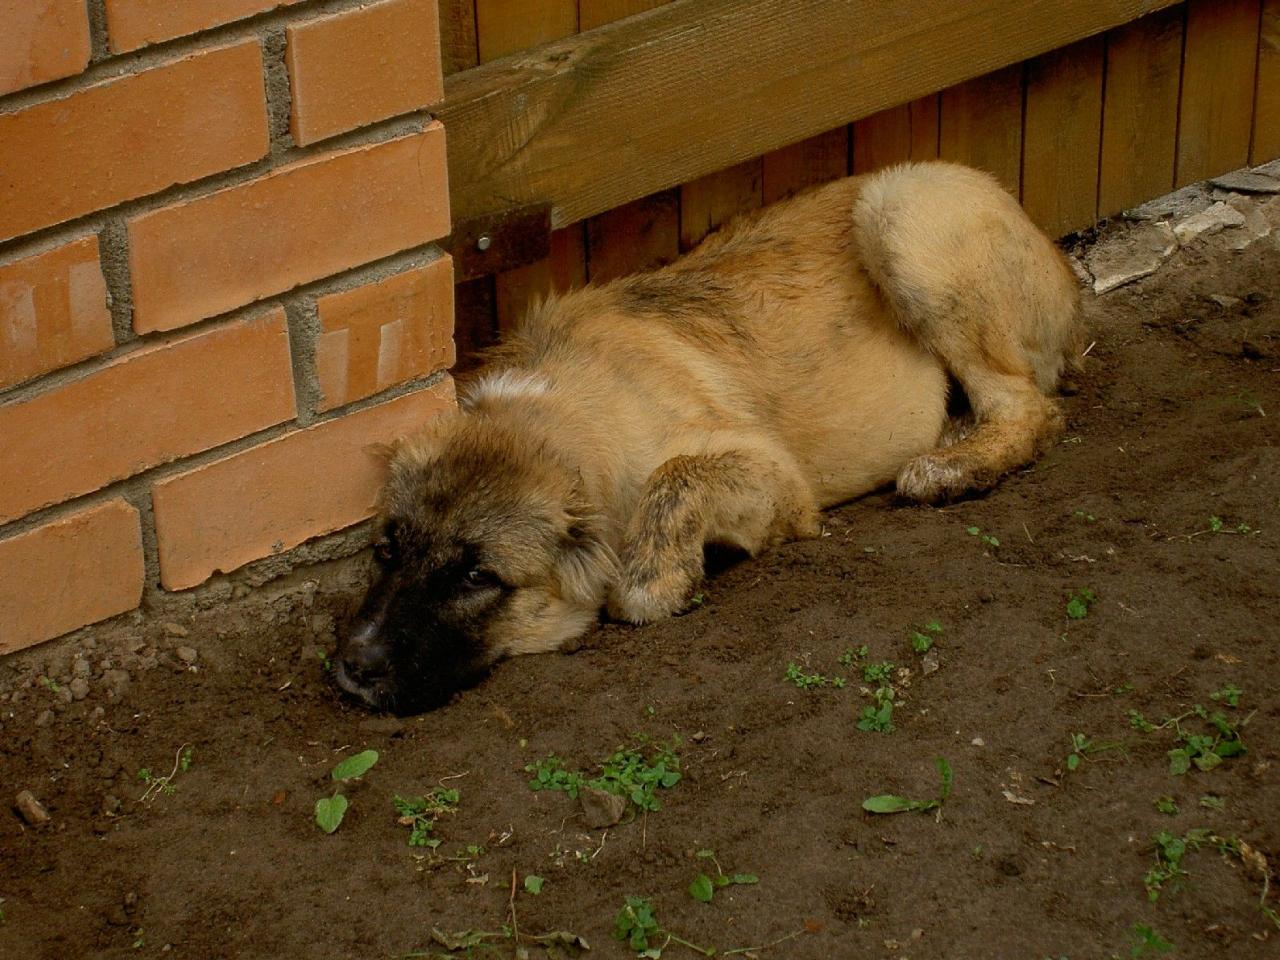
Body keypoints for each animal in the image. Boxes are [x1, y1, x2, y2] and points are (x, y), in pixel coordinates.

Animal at [335, 161, 1085, 716]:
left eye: (476, 575)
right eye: (386, 549)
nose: (352, 666)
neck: (558, 417)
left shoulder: (775, 474)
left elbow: (676, 482)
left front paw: (654, 580)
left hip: (899, 212)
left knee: (1030, 409)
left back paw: (950, 468)